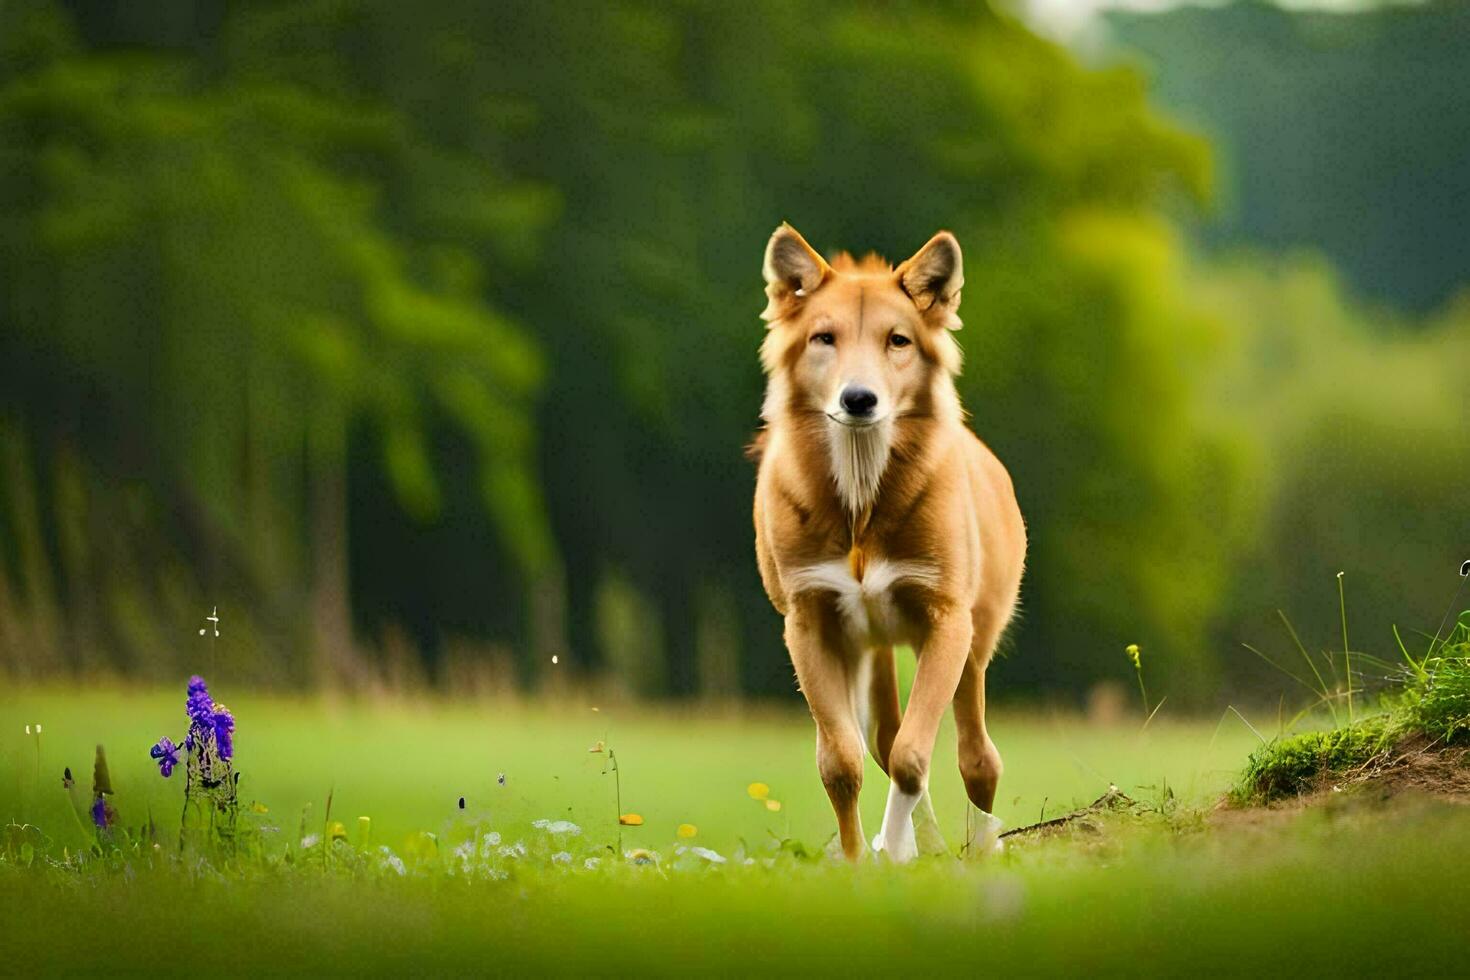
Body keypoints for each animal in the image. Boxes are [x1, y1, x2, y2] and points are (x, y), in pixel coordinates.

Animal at [752, 224, 1029, 863]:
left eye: (898, 340)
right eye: (824, 337)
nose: (859, 399)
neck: (860, 504)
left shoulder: (947, 619)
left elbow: (912, 757)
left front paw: (898, 848)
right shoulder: (809, 621)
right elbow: (843, 762)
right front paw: (861, 863)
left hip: (974, 640)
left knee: (977, 755)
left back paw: (979, 845)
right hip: (870, 647)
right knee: (882, 737)